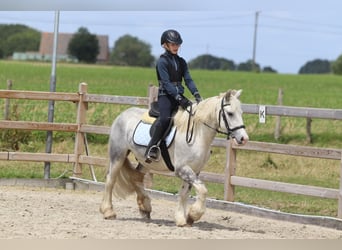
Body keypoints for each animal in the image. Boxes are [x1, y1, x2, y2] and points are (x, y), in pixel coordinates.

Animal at [99, 88, 248, 227]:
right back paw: (108, 212)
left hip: (146, 162)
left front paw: (183, 219)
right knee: (111, 180)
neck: (198, 134)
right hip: (118, 155)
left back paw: (145, 207)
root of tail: (122, 114)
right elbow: (202, 190)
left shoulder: (194, 170)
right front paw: (193, 215)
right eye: (230, 113)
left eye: (241, 112)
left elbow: (184, 193)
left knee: (136, 178)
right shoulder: (182, 169)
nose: (244, 138)